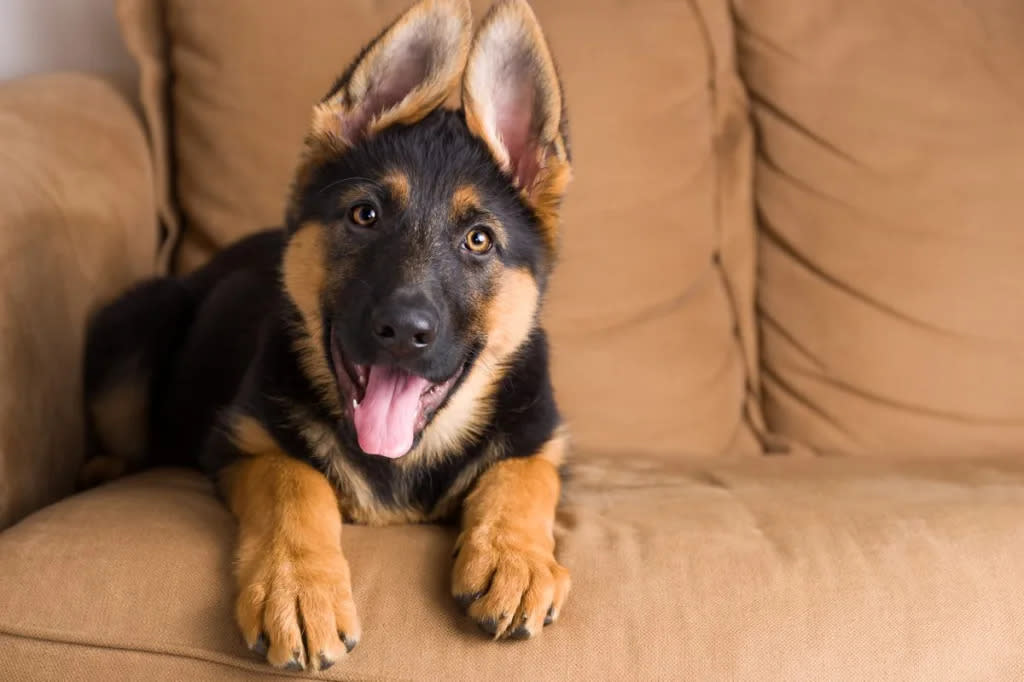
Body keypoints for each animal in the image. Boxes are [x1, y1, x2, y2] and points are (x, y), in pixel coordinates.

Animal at [77, 0, 577, 667]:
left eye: (479, 240)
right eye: (365, 215)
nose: (403, 331)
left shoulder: (541, 437)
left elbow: (523, 475)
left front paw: (513, 559)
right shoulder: (246, 440)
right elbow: (296, 482)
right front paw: (296, 590)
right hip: (139, 326)